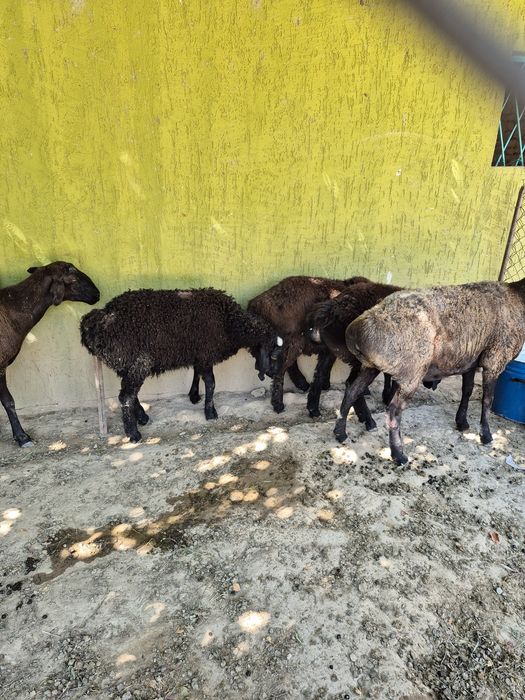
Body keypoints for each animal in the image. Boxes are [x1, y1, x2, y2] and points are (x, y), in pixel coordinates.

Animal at [0, 262, 100, 446]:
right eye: (72, 279)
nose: (97, 294)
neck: (14, 307)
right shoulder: (0, 364)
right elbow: (8, 401)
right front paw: (22, 437)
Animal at [80, 287, 283, 442]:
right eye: (272, 354)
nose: (276, 374)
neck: (229, 322)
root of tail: (100, 318)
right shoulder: (205, 353)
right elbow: (211, 383)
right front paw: (210, 413)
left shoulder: (198, 354)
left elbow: (197, 374)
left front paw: (194, 396)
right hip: (137, 362)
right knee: (126, 397)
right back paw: (133, 433)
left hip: (127, 365)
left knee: (130, 394)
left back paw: (143, 418)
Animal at [333, 279, 525, 464]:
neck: (518, 295)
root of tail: (356, 330)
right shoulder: (494, 359)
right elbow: (487, 400)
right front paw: (486, 435)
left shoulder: (470, 360)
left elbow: (467, 391)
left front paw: (462, 422)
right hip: (412, 371)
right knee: (394, 411)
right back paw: (398, 455)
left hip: (371, 366)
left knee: (352, 391)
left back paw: (340, 433)